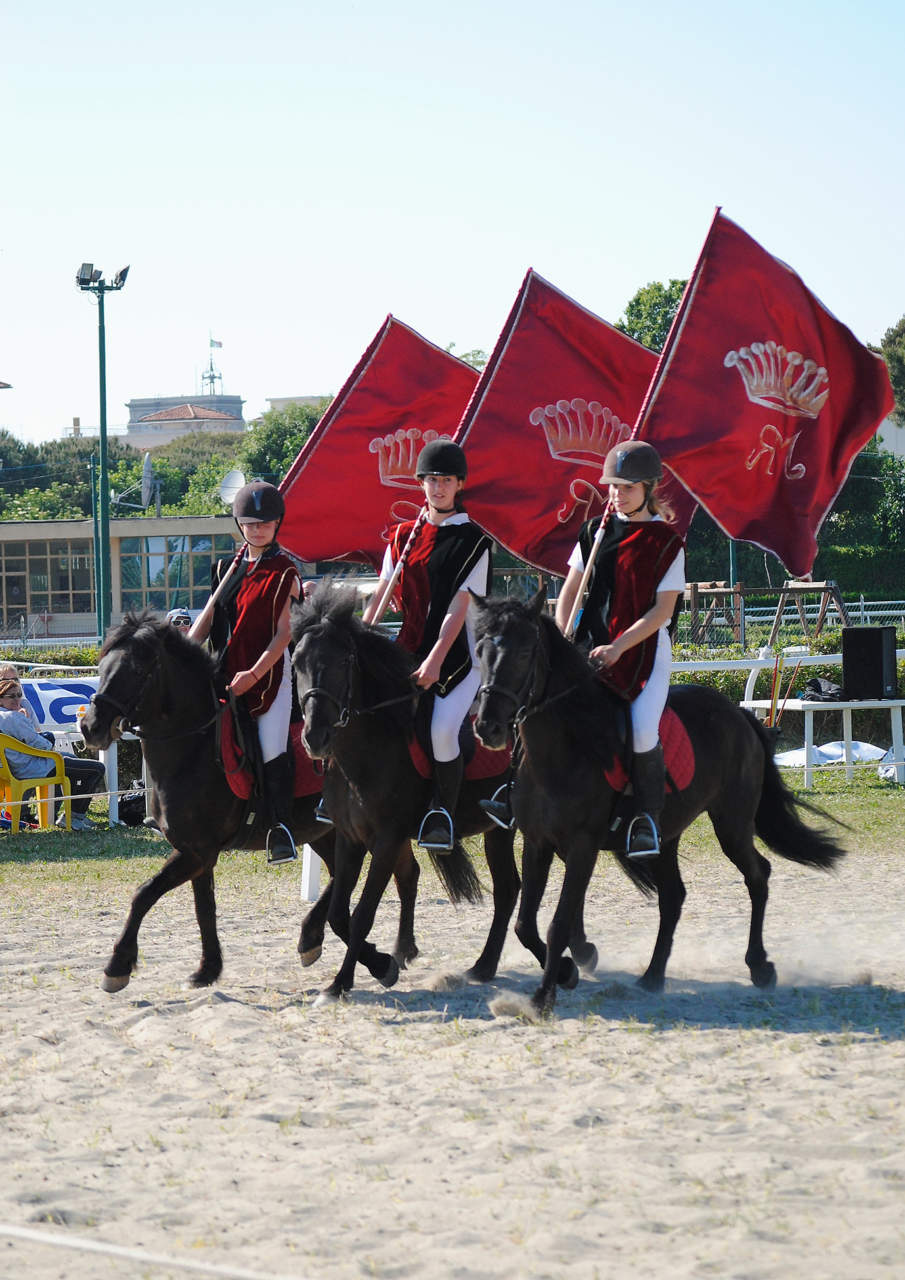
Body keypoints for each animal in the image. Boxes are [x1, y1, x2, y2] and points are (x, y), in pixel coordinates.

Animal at [79, 614, 419, 993]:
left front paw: (117, 965)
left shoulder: (198, 851)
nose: (91, 727)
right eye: (102, 667)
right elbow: (203, 907)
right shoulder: (195, 851)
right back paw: (328, 942)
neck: (193, 748)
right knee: (354, 880)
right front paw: (208, 968)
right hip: (324, 831)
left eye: (137, 670)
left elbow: (144, 894)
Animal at [290, 586, 537, 1003]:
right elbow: (340, 913)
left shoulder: (387, 839)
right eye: (296, 662)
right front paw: (379, 963)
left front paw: (345, 981)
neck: (366, 751)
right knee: (506, 889)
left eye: (343, 660)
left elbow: (362, 914)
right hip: (497, 828)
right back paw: (480, 966)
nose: (315, 737)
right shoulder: (349, 837)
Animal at [471, 588, 844, 1018]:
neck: (565, 747)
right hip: (665, 835)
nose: (488, 727)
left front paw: (543, 996)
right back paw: (653, 976)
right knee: (673, 895)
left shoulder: (582, 846)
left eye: (523, 653)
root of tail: (739, 715)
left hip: (731, 823)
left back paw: (759, 966)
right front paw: (566, 971)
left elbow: (558, 922)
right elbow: (525, 924)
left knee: (757, 875)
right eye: (479, 651)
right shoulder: (537, 841)